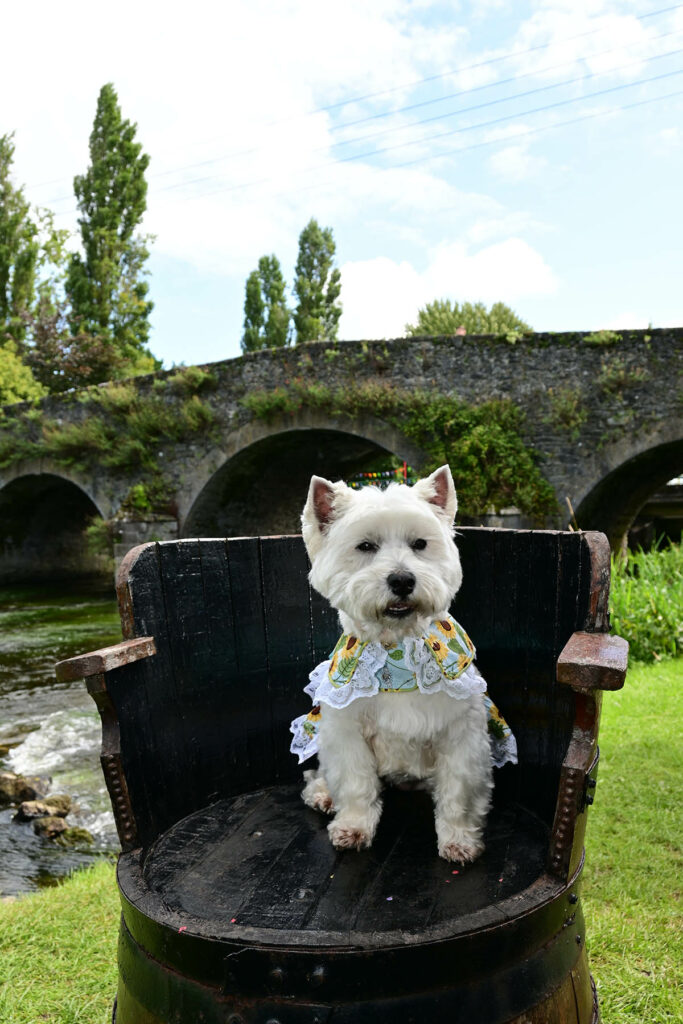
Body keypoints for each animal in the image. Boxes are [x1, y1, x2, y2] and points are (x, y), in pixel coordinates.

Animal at [290, 466, 518, 864]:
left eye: (420, 544)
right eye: (366, 546)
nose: (402, 579)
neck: (396, 651)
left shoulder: (462, 735)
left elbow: (458, 793)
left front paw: (459, 840)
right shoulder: (346, 729)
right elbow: (355, 782)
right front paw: (353, 828)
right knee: (322, 774)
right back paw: (323, 794)